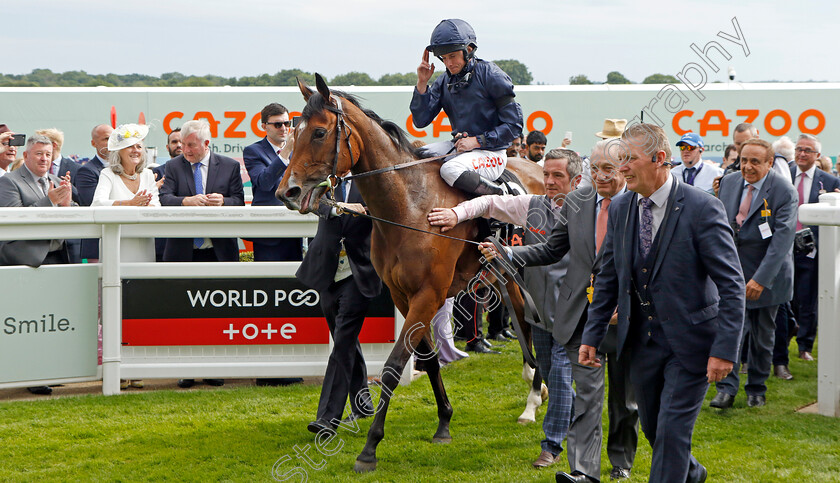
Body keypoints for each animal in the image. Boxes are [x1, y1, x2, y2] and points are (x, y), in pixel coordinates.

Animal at [278, 74, 544, 472]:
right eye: (294, 130)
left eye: (320, 132)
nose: (287, 191)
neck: (410, 206)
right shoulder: (404, 296)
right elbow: (428, 359)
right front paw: (444, 422)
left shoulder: (429, 294)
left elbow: (392, 366)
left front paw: (369, 449)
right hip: (498, 274)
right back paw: (534, 387)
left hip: (523, 270)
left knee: (532, 322)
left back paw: (532, 399)